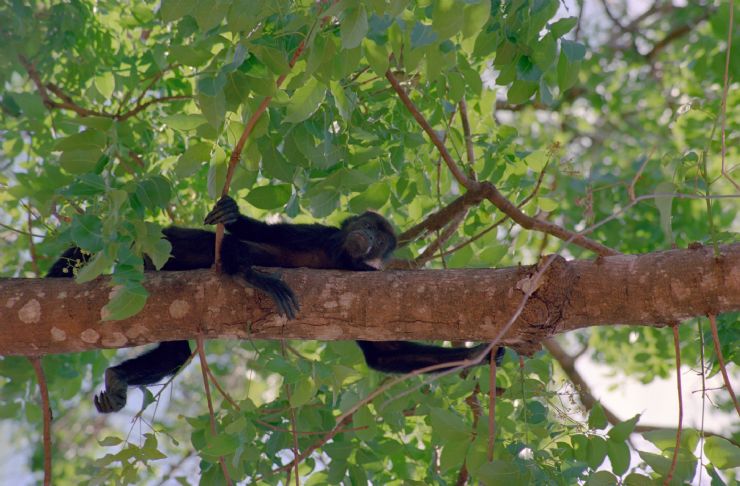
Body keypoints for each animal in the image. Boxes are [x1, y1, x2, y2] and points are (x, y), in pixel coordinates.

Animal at [48, 196, 503, 413]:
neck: (339, 256)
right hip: (166, 245)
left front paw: (484, 354)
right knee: (223, 247)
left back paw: (118, 379)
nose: (370, 238)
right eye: (367, 226)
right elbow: (258, 231)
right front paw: (232, 216)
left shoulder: (362, 275)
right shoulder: (317, 234)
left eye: (381, 240)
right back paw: (252, 275)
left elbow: (385, 352)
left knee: (176, 349)